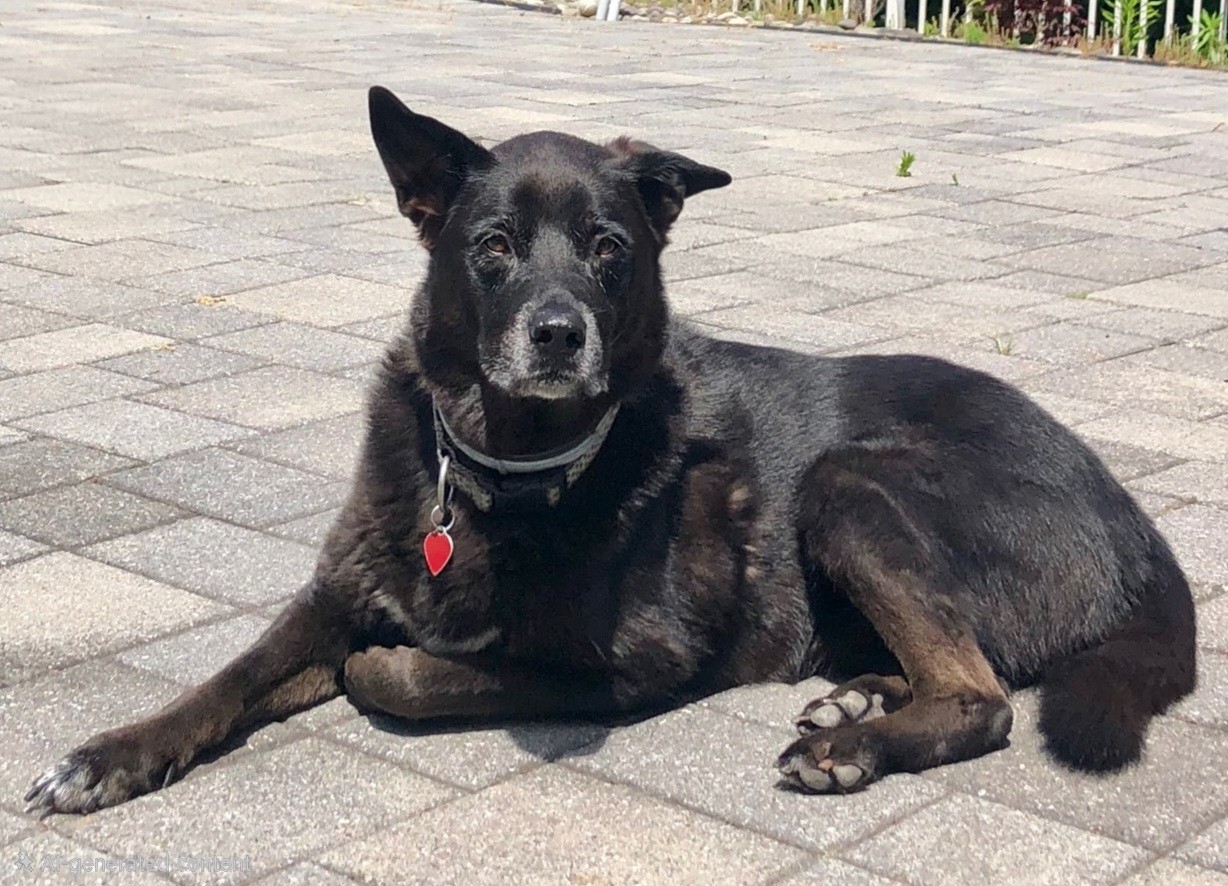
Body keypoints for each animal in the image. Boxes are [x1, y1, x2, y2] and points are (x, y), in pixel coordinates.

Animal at [26, 85, 1197, 815]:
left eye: (608, 251)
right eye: (494, 248)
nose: (557, 332)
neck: (508, 473)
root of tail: (1137, 526)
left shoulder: (634, 664)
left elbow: (425, 675)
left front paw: (392, 663)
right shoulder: (334, 592)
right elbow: (232, 674)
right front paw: (112, 753)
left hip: (849, 482)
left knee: (983, 695)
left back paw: (849, 743)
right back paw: (858, 696)